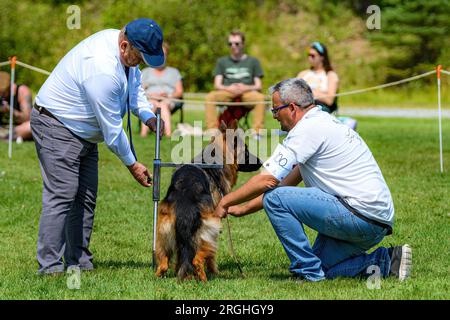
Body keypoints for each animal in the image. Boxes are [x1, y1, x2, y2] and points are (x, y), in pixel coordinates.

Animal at [155, 121, 262, 282]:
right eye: (247, 152)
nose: (261, 162)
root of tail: (186, 199)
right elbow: (211, 259)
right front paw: (214, 272)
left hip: (165, 234)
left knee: (164, 263)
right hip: (211, 233)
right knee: (197, 259)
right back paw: (204, 280)